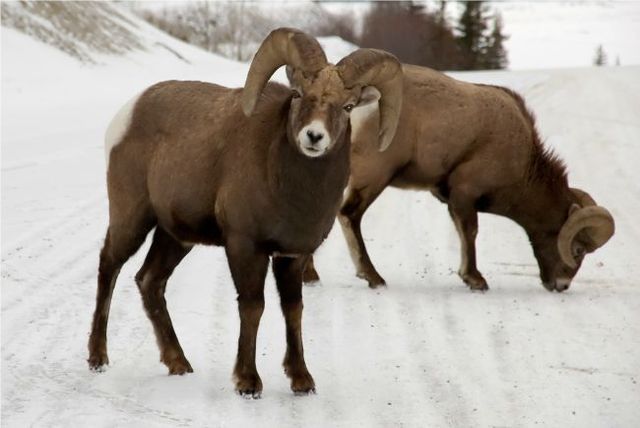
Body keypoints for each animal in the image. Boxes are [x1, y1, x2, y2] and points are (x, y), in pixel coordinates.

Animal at [87, 27, 402, 398]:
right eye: (299, 94)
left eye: (348, 106)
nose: (314, 137)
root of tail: (128, 113)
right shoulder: (246, 247)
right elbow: (253, 306)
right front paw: (248, 382)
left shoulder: (292, 256)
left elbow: (293, 310)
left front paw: (302, 380)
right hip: (132, 218)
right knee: (110, 266)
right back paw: (98, 358)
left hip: (175, 237)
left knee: (150, 281)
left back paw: (179, 364)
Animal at [304, 66, 616, 294]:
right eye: (578, 249)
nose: (561, 286)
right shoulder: (466, 194)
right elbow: (470, 233)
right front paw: (475, 280)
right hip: (374, 176)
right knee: (349, 215)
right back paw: (373, 277)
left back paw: (311, 276)